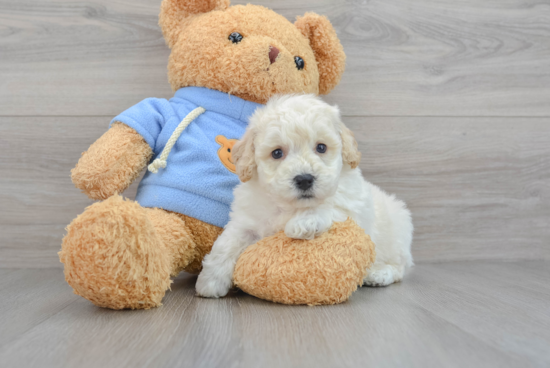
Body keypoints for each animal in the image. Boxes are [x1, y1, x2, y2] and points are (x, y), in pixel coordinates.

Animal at [198, 93, 414, 298]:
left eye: (321, 147)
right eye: (277, 153)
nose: (304, 179)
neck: (290, 206)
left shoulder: (353, 206)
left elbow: (331, 206)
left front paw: (304, 222)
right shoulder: (247, 220)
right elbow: (226, 244)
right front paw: (210, 281)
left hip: (397, 231)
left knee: (400, 267)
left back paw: (378, 274)